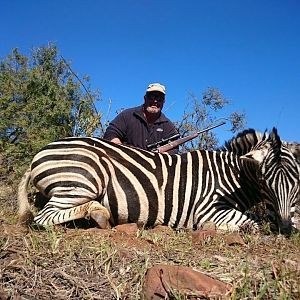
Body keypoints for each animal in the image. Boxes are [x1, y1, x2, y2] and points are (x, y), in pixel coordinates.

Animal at [17, 127, 298, 233]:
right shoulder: (207, 210)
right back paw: (98, 214)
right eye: (266, 182)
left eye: (295, 185)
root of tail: (38, 155)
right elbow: (253, 225)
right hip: (86, 179)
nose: (286, 229)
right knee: (44, 217)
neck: (229, 176)